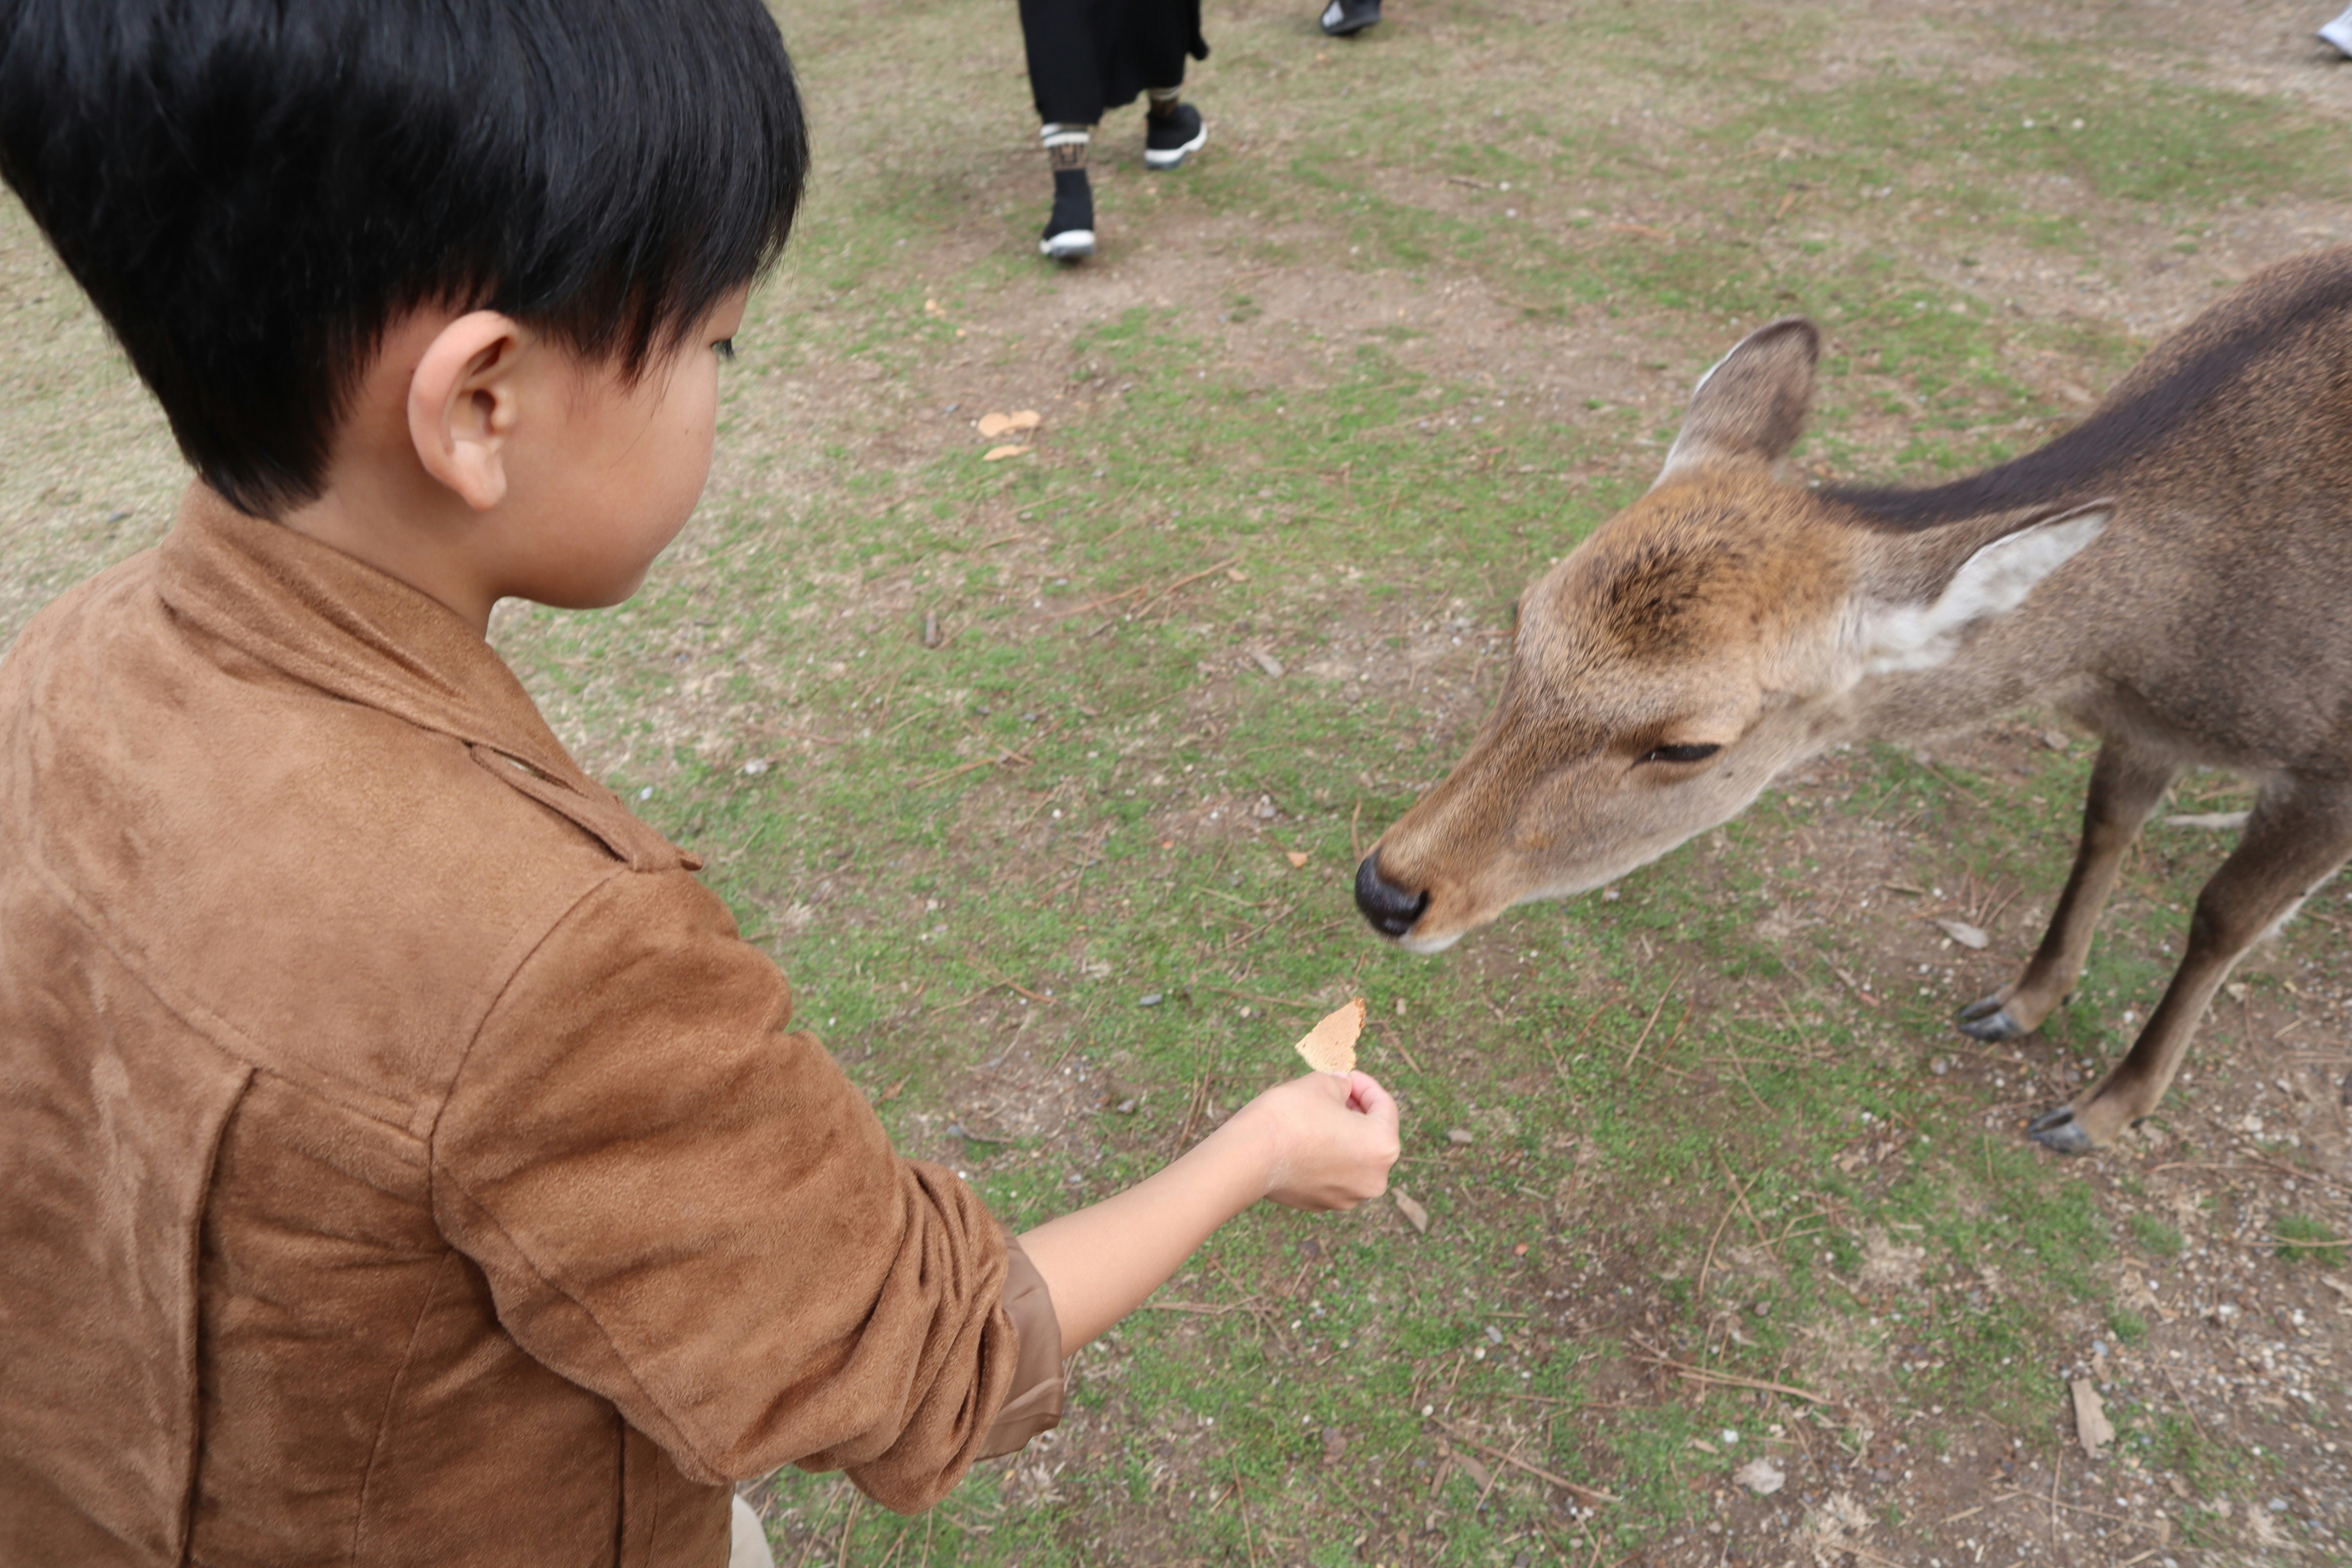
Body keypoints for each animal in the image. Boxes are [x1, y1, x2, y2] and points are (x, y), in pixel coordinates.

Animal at [1352, 246, 2352, 1155]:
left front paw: (2099, 1112)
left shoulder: (2328, 770)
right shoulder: (2146, 729)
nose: (1388, 891)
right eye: (1521, 614)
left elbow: (2224, 916)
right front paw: (2017, 1003)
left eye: (1688, 745)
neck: (2158, 651)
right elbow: (2105, 824)